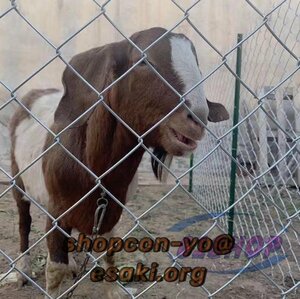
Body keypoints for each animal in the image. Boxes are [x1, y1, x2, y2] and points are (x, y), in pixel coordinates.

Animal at [9, 27, 230, 298]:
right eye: (144, 61)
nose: (197, 119)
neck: (94, 169)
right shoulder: (56, 209)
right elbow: (55, 268)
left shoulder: (110, 209)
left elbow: (110, 251)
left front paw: (114, 290)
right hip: (18, 178)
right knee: (24, 222)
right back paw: (21, 272)